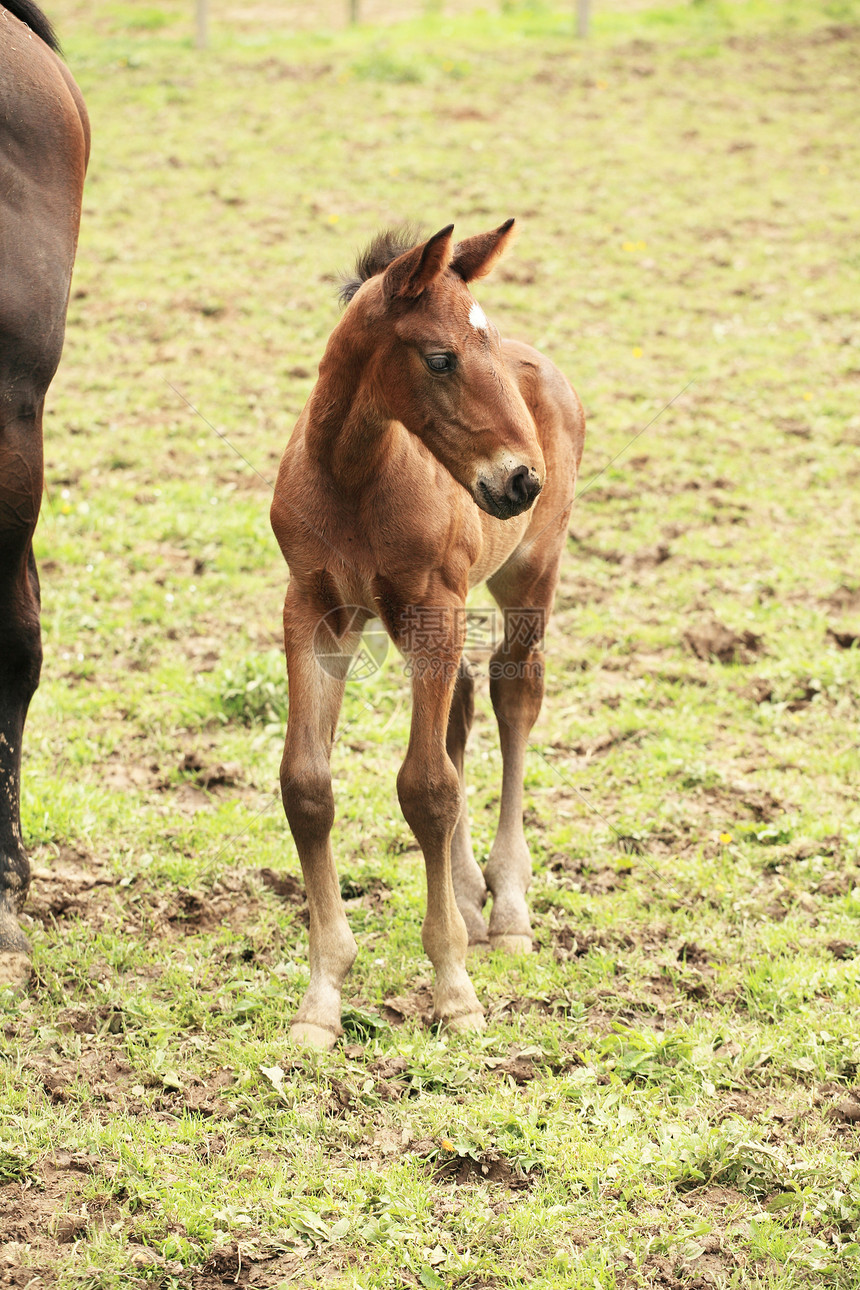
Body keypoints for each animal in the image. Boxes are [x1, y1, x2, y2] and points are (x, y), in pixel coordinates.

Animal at [272, 221, 587, 1047]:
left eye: (486, 342)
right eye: (441, 357)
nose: (520, 479)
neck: (352, 475)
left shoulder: (433, 606)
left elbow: (427, 788)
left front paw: (454, 990)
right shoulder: (313, 609)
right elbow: (307, 785)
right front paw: (321, 998)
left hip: (528, 577)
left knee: (514, 694)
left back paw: (506, 910)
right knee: (467, 703)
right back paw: (472, 898)